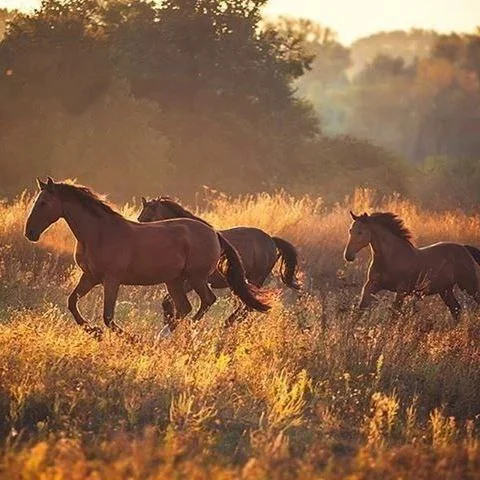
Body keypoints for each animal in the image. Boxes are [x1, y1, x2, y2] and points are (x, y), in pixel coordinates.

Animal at [24, 177, 270, 338]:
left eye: (43, 203)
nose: (30, 232)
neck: (99, 233)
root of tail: (214, 233)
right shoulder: (90, 277)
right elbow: (72, 302)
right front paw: (93, 332)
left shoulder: (111, 280)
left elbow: (108, 316)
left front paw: (131, 339)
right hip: (175, 281)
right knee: (184, 308)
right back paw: (166, 336)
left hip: (197, 278)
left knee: (207, 301)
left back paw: (179, 332)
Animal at [136, 197, 300, 324]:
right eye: (140, 218)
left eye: (148, 217)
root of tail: (271, 240)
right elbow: (167, 302)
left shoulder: (191, 281)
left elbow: (171, 301)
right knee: (246, 306)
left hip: (254, 280)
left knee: (247, 307)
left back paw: (226, 324)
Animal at [344, 211, 480, 320]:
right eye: (350, 231)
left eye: (360, 232)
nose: (348, 255)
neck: (390, 258)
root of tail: (464, 248)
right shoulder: (371, 285)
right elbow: (361, 308)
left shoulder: (401, 290)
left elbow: (394, 313)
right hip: (445, 289)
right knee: (456, 309)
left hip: (470, 285)